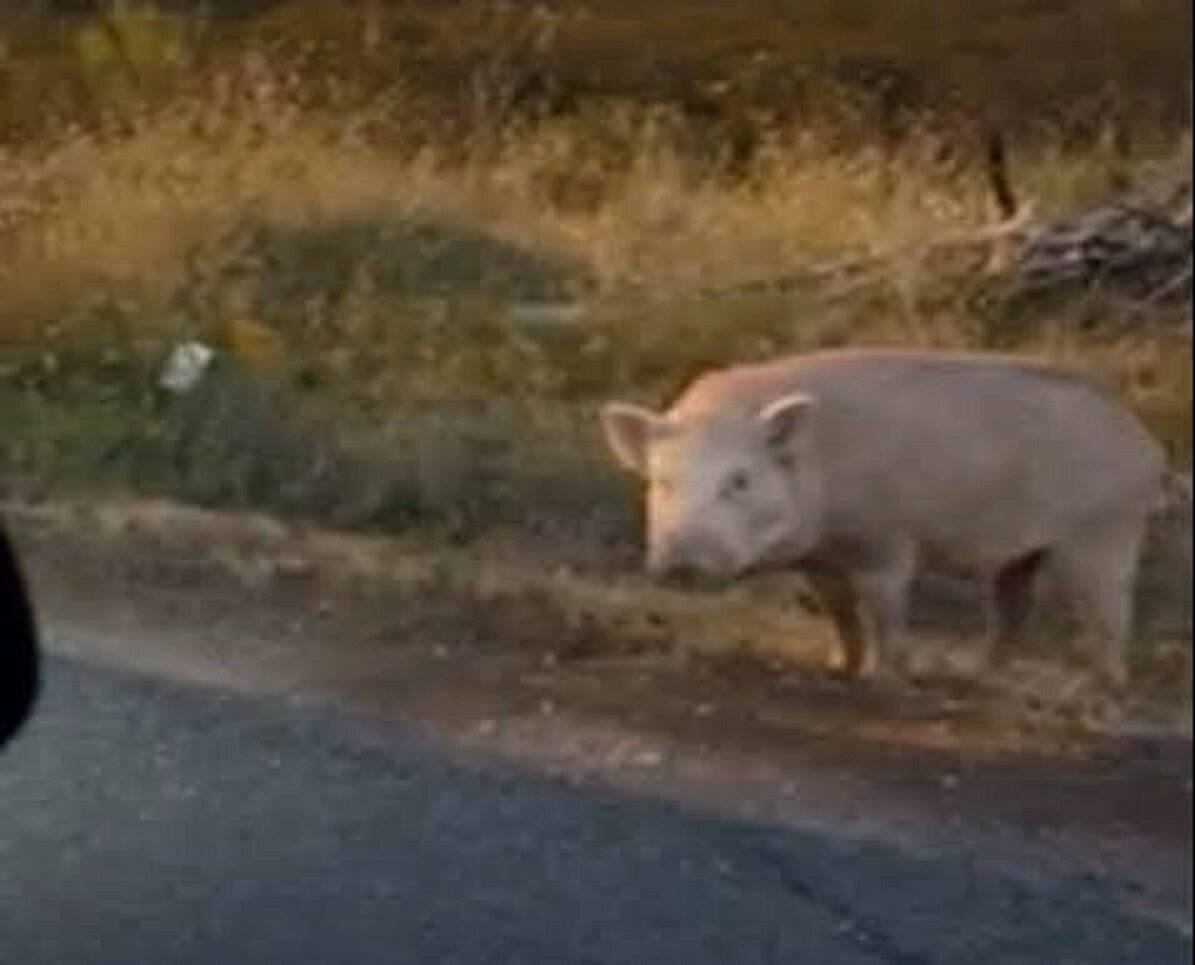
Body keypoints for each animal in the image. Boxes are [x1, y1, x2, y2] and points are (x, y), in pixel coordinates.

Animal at [597, 348, 1166, 687]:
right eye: (661, 482)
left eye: (739, 480)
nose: (680, 564)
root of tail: (1146, 445)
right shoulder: (820, 559)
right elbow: (839, 610)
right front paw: (837, 667)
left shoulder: (884, 541)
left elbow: (884, 609)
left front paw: (880, 676)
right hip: (1022, 555)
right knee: (1013, 605)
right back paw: (977, 672)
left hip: (1104, 533)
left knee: (1110, 611)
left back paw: (1101, 688)